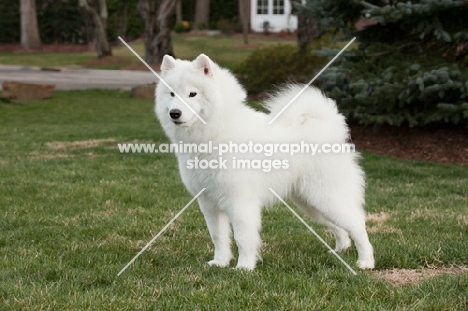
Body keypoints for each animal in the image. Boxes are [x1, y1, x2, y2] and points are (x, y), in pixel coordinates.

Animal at [155, 53, 374, 270]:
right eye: (172, 94)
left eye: (192, 94)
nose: (174, 113)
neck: (215, 132)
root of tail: (328, 129)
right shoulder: (208, 202)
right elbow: (218, 237)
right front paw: (220, 262)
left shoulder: (240, 201)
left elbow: (243, 237)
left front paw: (244, 267)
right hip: (311, 203)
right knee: (339, 227)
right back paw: (339, 251)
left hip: (326, 197)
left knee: (357, 225)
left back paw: (365, 262)